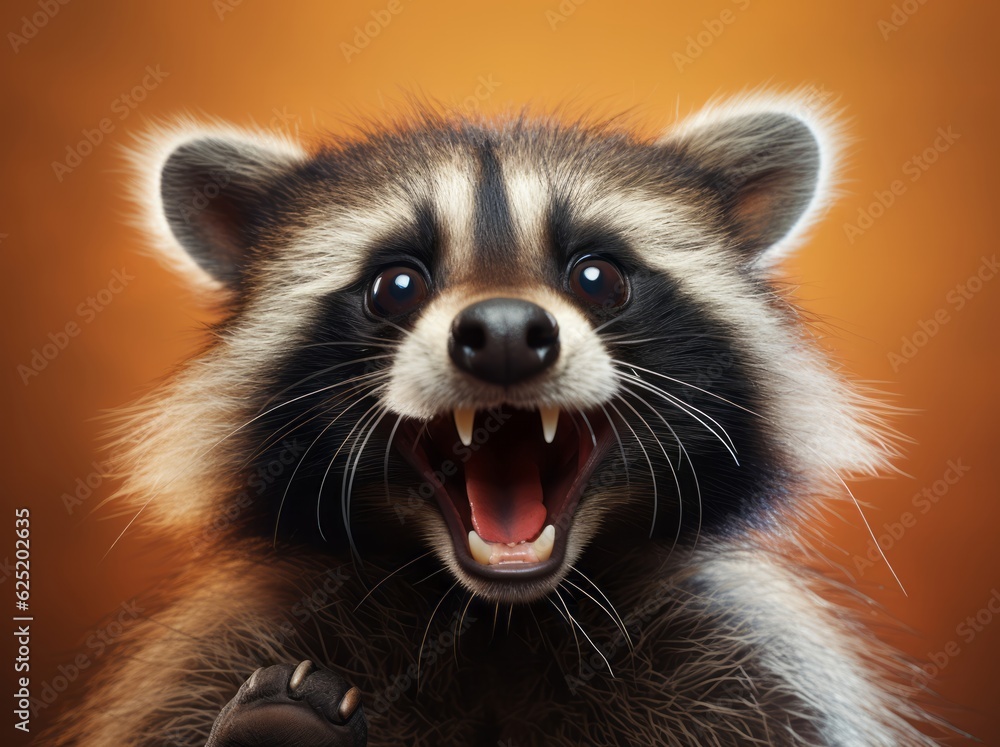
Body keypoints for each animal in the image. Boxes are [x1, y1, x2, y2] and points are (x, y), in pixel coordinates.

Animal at [51, 92, 941, 746]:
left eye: (598, 276)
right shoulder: (208, 662)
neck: (497, 619)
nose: (506, 333)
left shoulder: (754, 665)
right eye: (396, 285)